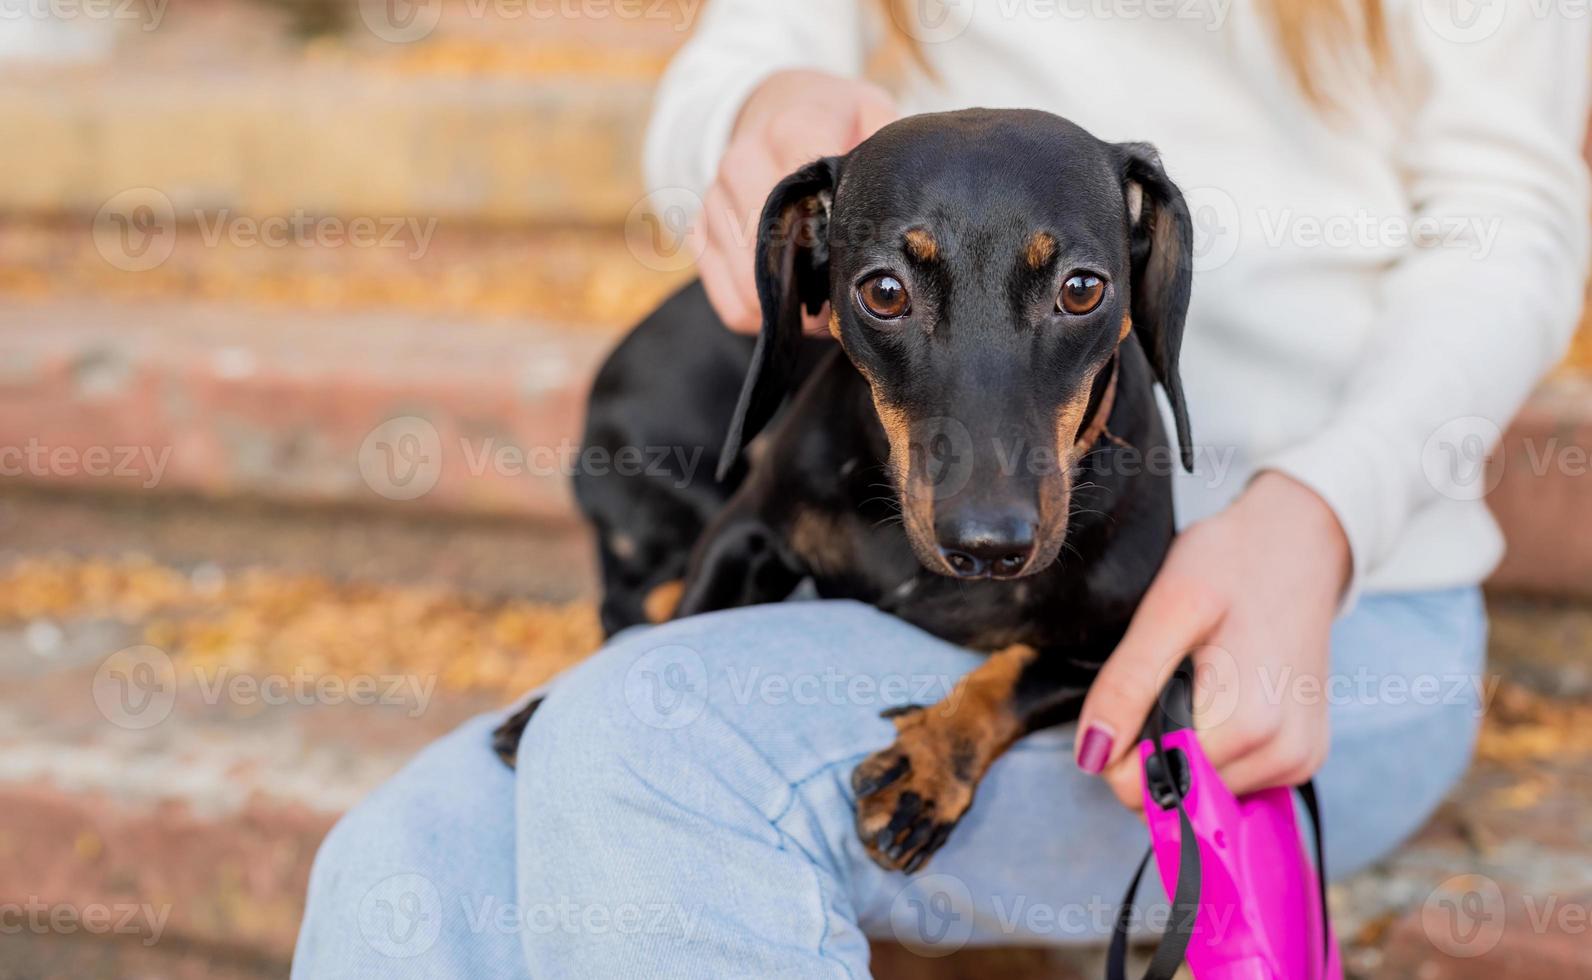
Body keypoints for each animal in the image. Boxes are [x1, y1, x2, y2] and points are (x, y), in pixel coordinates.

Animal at [496, 108, 1197, 871]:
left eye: (1082, 289)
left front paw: (926, 765)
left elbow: (1017, 674)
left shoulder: (1129, 649)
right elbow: (687, 620)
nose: (987, 545)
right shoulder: (746, 531)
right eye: (885, 292)